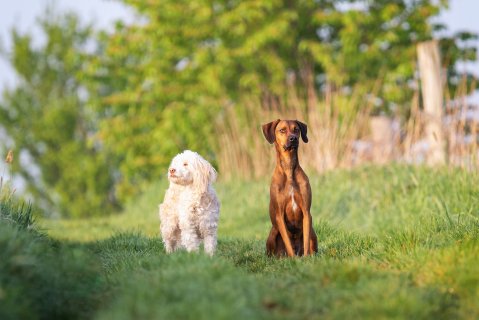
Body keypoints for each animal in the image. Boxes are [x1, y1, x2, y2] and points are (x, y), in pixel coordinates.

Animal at [262, 119, 318, 256]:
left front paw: (306, 258)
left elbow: (306, 241)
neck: (289, 168)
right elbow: (287, 242)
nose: (293, 139)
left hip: (313, 232)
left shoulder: (306, 213)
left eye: (296, 129)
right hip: (272, 233)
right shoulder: (279, 216)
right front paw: (293, 259)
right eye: (282, 130)